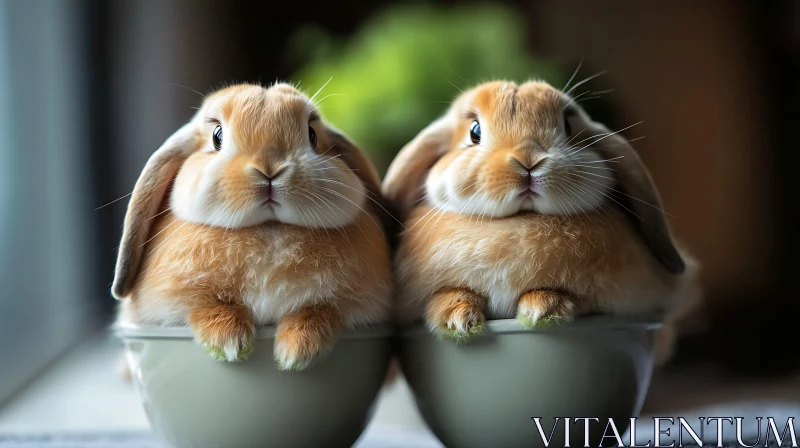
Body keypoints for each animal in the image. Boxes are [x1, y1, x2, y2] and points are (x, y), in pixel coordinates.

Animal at [114, 82, 396, 370]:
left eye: (312, 134)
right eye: (217, 136)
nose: (270, 168)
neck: (269, 229)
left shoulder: (353, 305)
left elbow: (321, 310)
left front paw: (295, 353)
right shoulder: (174, 302)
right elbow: (204, 306)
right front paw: (229, 343)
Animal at [382, 79, 700, 360]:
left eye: (568, 127)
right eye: (474, 131)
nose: (529, 160)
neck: (521, 219)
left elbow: (577, 298)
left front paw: (543, 309)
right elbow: (448, 293)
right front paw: (458, 319)